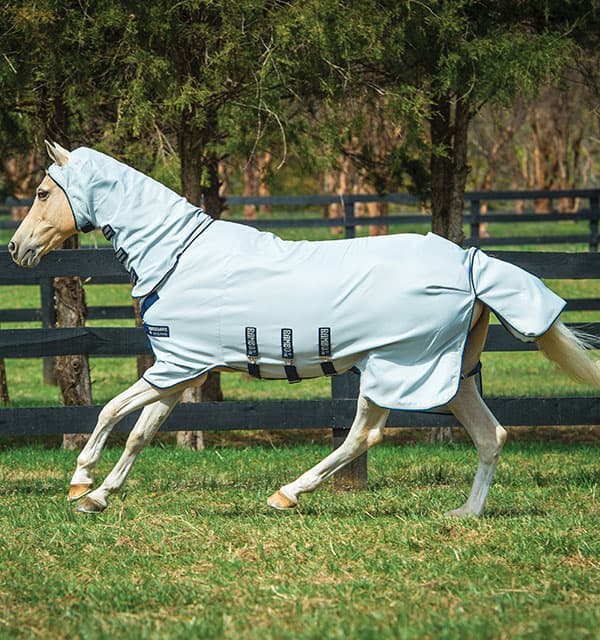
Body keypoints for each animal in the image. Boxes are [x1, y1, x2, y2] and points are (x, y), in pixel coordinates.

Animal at [8, 141, 599, 516]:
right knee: (489, 436)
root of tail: (472, 264)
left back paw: (287, 493)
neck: (179, 256)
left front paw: (80, 482)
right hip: (451, 378)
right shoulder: (180, 372)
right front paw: (99, 497)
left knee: (364, 434)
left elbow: (109, 412)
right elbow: (141, 432)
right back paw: (465, 514)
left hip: (391, 368)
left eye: (41, 192)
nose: (17, 248)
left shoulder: (176, 366)